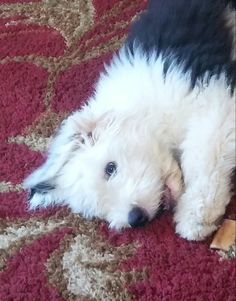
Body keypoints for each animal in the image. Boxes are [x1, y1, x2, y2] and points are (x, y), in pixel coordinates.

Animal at [24, 0, 236, 239]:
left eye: (110, 168)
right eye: (95, 210)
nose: (136, 218)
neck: (144, 104)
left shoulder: (213, 99)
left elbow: (204, 157)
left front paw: (196, 217)